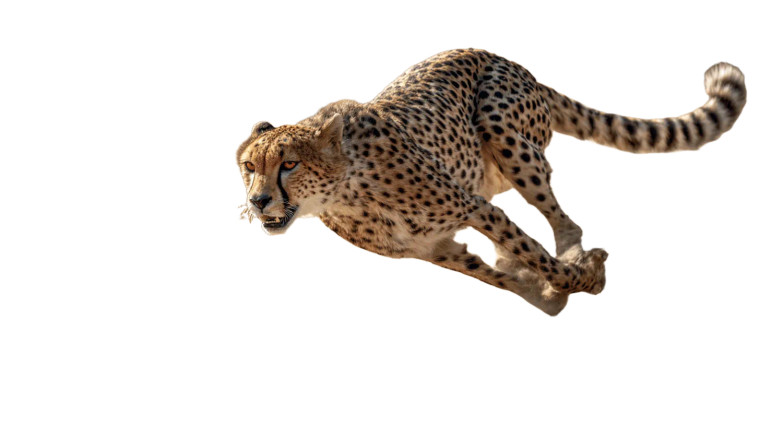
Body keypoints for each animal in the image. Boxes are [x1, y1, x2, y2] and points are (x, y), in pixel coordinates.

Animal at [236, 48, 746, 315]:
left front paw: (579, 278)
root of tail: (501, 57)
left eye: (289, 164)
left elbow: (534, 252)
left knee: (562, 219)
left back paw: (574, 250)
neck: (345, 191)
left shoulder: (472, 208)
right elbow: (495, 278)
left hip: (504, 131)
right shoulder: (435, 246)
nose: (259, 201)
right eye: (248, 166)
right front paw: (545, 296)